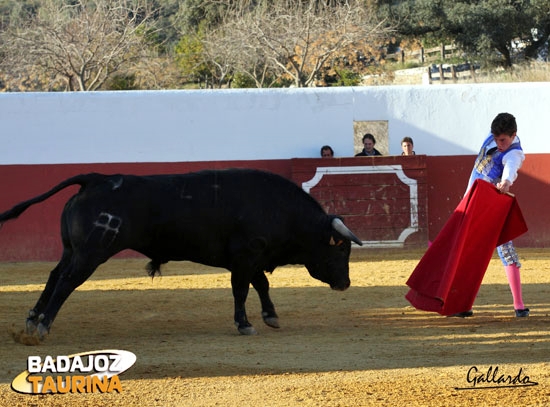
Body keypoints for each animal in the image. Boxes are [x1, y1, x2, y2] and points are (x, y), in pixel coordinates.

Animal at [0, 169, 362, 342]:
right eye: (340, 248)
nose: (345, 283)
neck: (281, 209)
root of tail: (97, 179)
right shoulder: (245, 257)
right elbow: (242, 290)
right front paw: (244, 324)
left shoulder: (251, 258)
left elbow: (261, 285)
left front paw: (270, 317)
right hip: (91, 253)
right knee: (66, 282)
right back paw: (43, 326)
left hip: (71, 250)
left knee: (53, 276)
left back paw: (32, 320)